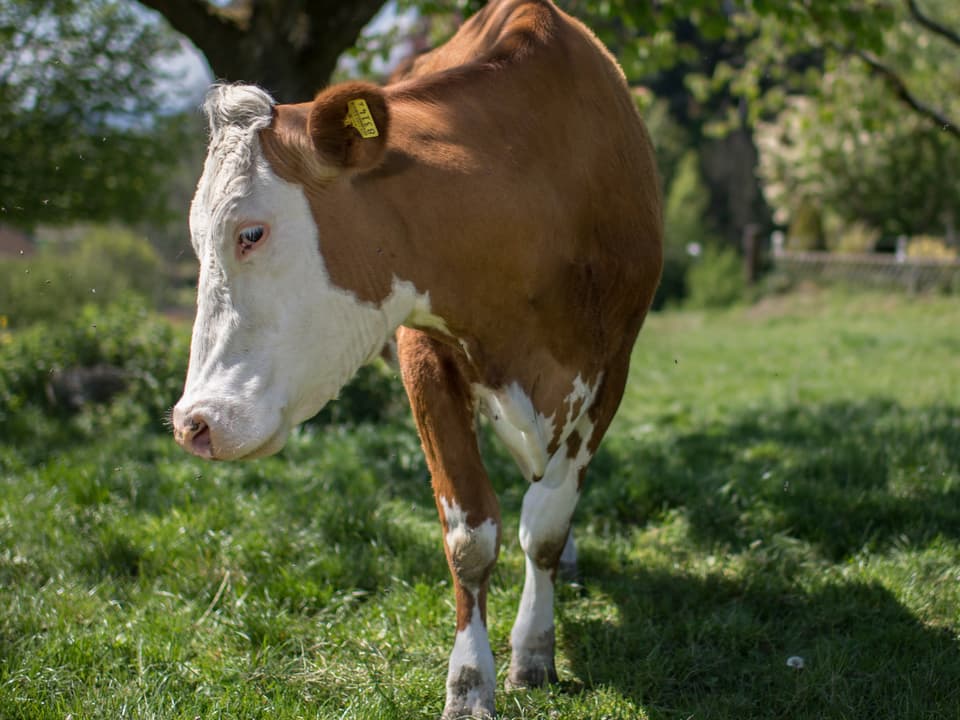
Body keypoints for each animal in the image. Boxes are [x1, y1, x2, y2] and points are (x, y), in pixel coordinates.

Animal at [171, 1, 660, 716]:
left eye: (251, 232)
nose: (193, 423)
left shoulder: (610, 370)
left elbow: (543, 525)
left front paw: (533, 648)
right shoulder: (424, 357)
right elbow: (471, 537)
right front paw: (470, 680)